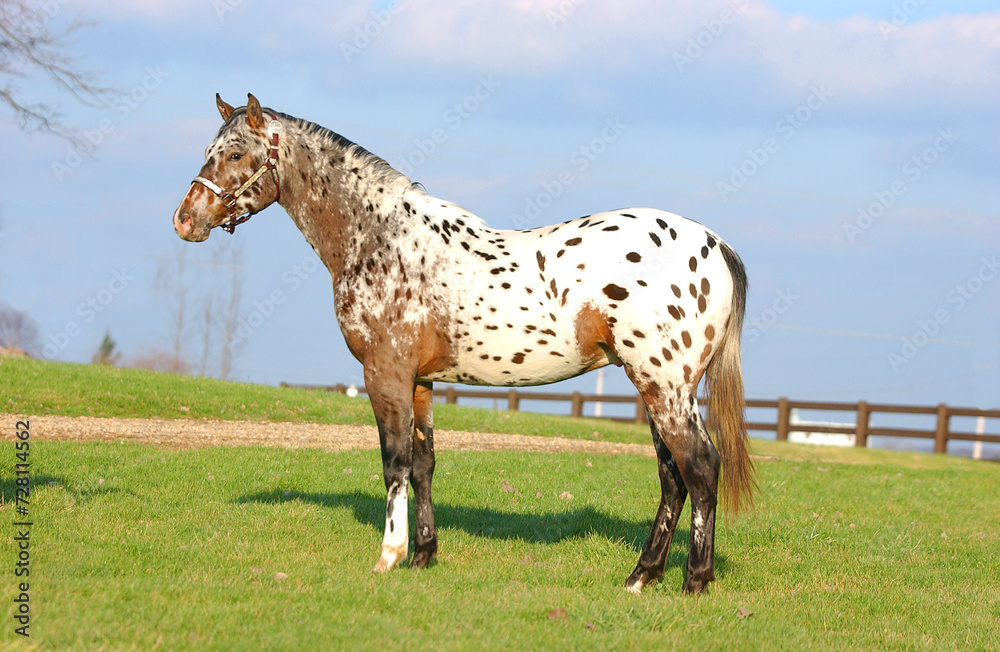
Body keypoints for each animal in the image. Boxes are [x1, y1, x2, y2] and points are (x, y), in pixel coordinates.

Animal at [172, 94, 752, 592]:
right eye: (208, 152)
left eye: (236, 153)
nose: (184, 220)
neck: (381, 238)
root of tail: (715, 244)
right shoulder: (421, 382)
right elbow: (423, 465)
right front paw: (424, 555)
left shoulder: (385, 374)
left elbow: (394, 462)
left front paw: (389, 556)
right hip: (660, 389)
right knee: (673, 477)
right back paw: (640, 577)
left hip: (664, 386)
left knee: (700, 468)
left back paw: (693, 582)